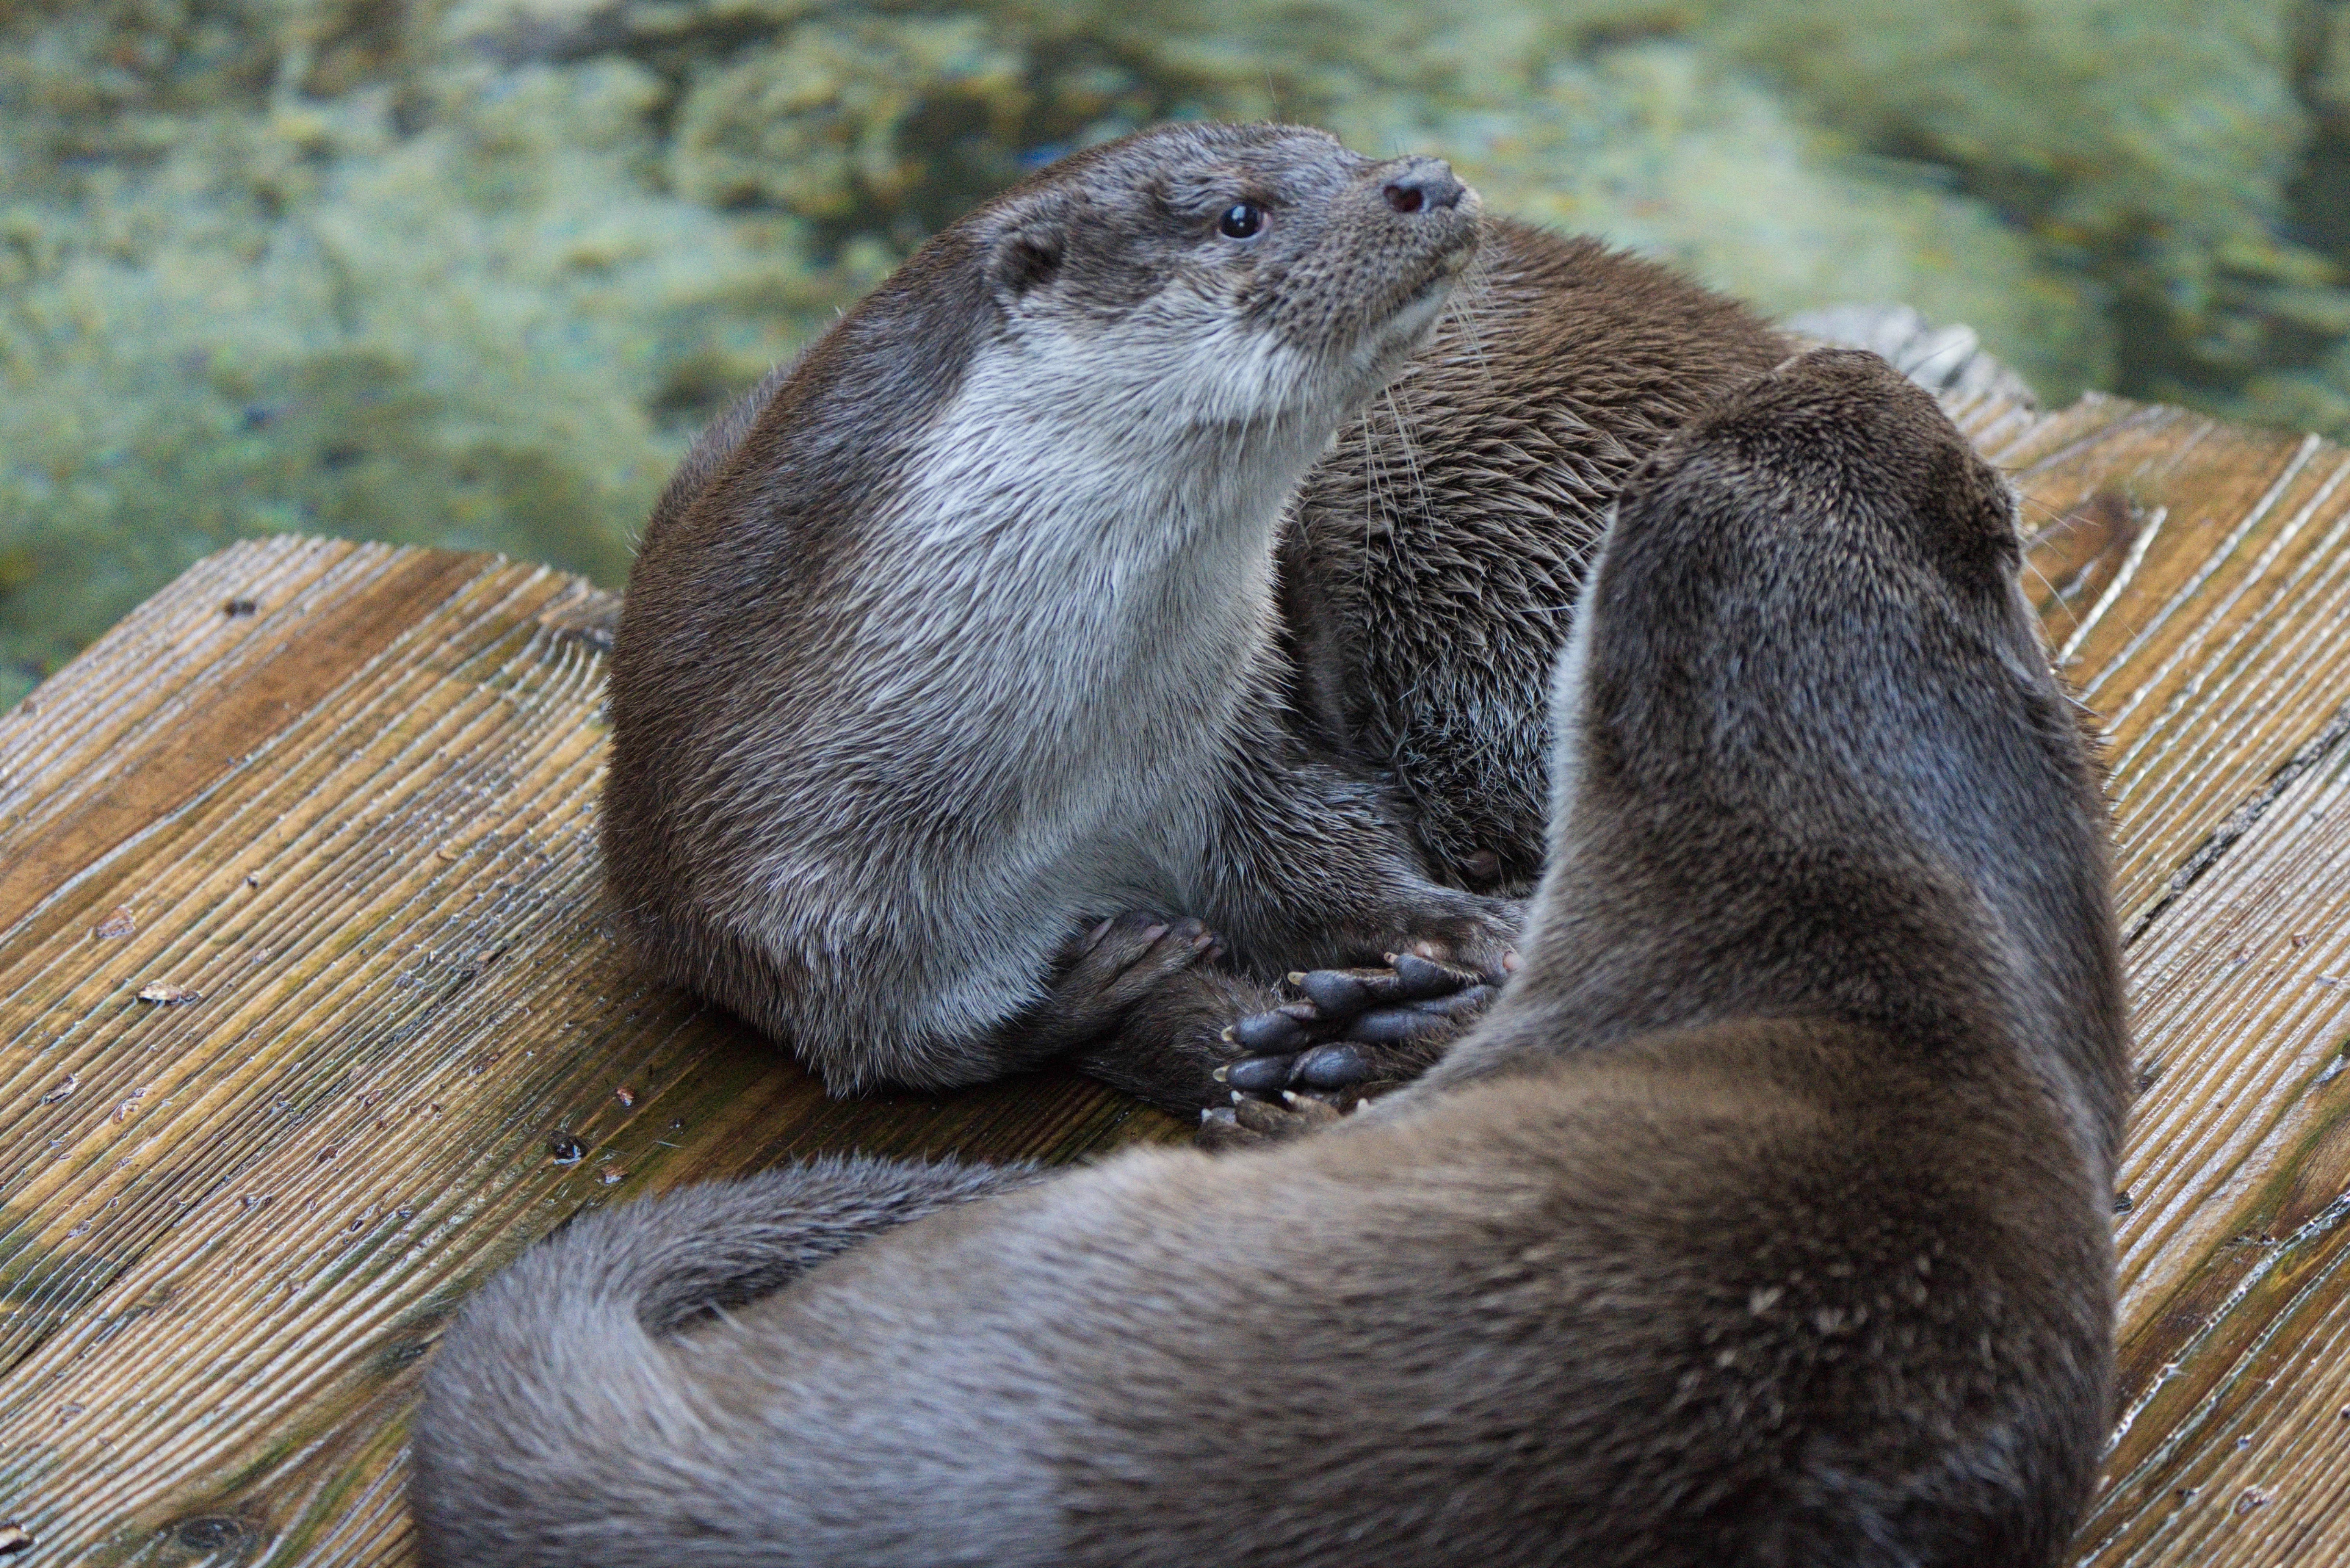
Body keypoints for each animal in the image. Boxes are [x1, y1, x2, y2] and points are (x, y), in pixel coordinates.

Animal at [606, 123, 1790, 1111]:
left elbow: (1336, 854)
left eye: (1339, 148)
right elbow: (914, 1046)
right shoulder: (772, 905)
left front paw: (1454, 931)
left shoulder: (1245, 747)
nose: (1424, 175)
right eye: (1239, 216)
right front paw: (1096, 990)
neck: (1062, 782)